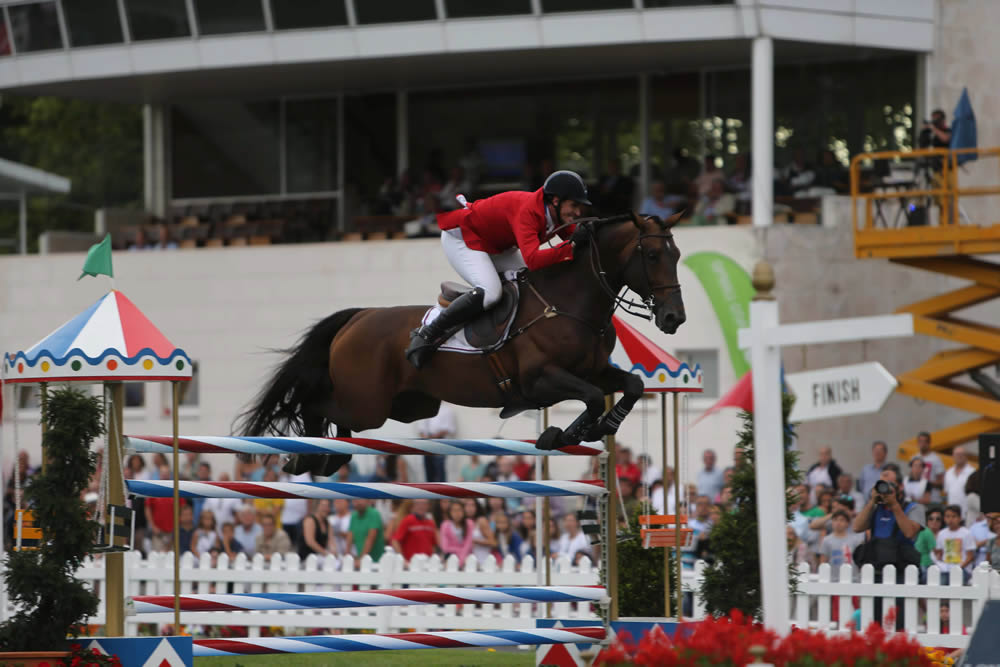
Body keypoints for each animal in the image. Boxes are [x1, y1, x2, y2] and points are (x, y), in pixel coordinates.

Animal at [236, 211, 688, 478]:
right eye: (651, 255)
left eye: (677, 254)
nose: (673, 318)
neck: (569, 303)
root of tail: (359, 317)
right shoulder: (540, 380)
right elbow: (593, 397)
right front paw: (562, 434)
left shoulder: (593, 369)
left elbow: (632, 385)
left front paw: (603, 427)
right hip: (368, 403)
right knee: (315, 404)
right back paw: (306, 455)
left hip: (407, 407)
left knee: (338, 421)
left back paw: (329, 457)